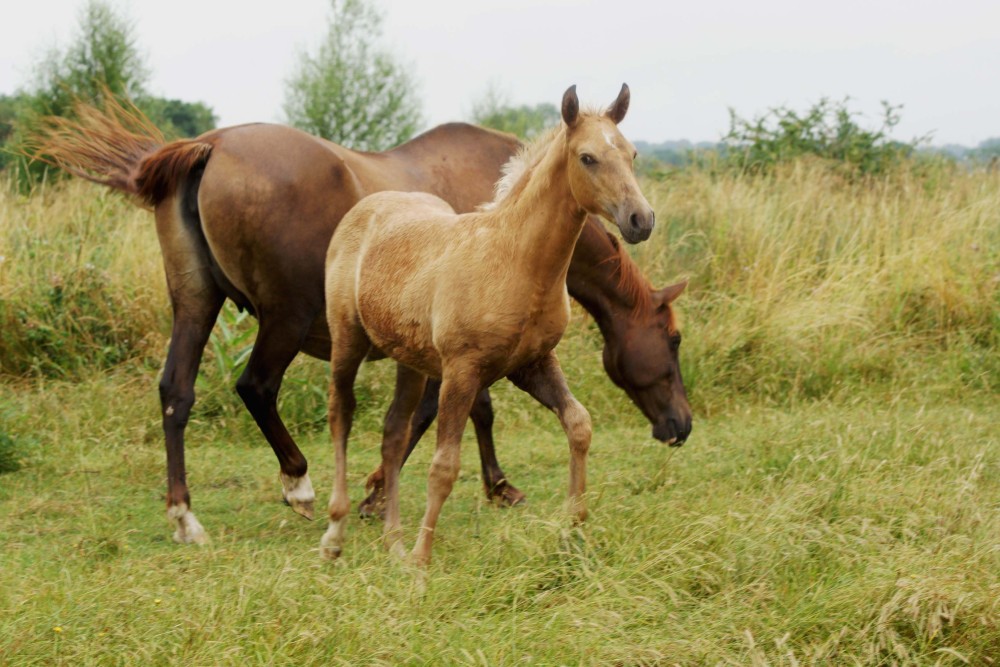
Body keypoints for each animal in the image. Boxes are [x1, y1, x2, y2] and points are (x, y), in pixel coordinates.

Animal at [320, 82, 660, 564]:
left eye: (632, 153)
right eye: (588, 158)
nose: (641, 220)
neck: (516, 261)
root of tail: (365, 206)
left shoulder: (533, 362)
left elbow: (579, 424)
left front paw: (573, 529)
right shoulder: (462, 371)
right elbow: (444, 466)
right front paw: (422, 562)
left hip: (410, 360)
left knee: (393, 432)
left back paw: (394, 541)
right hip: (347, 339)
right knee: (341, 414)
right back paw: (335, 534)